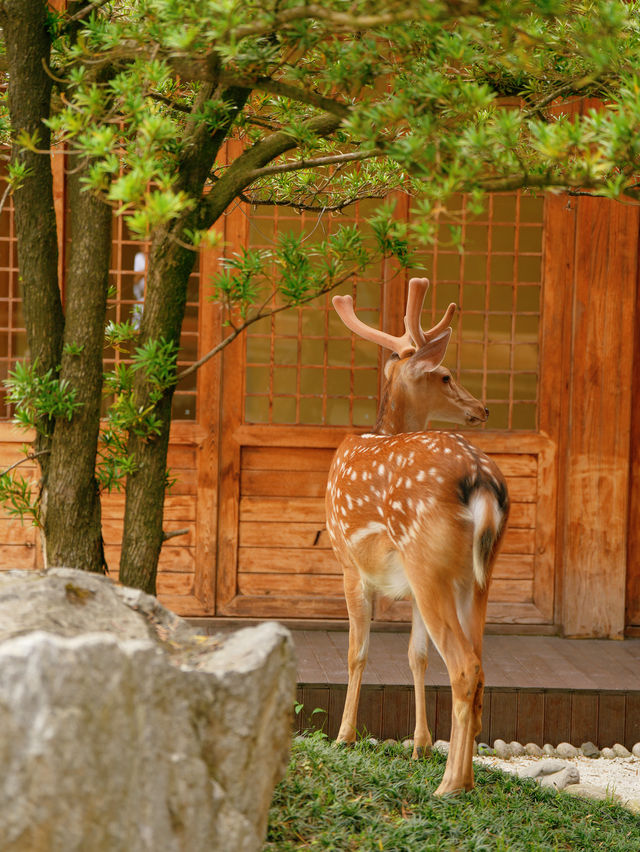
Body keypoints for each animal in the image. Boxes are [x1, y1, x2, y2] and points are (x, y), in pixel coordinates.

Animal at [324, 276, 510, 796]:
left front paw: (344, 736)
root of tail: (481, 481)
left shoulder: (349, 563)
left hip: (428, 560)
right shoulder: (405, 585)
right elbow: (416, 656)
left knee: (465, 666)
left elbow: (357, 652)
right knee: (478, 665)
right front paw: (420, 745)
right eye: (445, 375)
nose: (483, 407)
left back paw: (449, 785)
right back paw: (465, 779)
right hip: (473, 576)